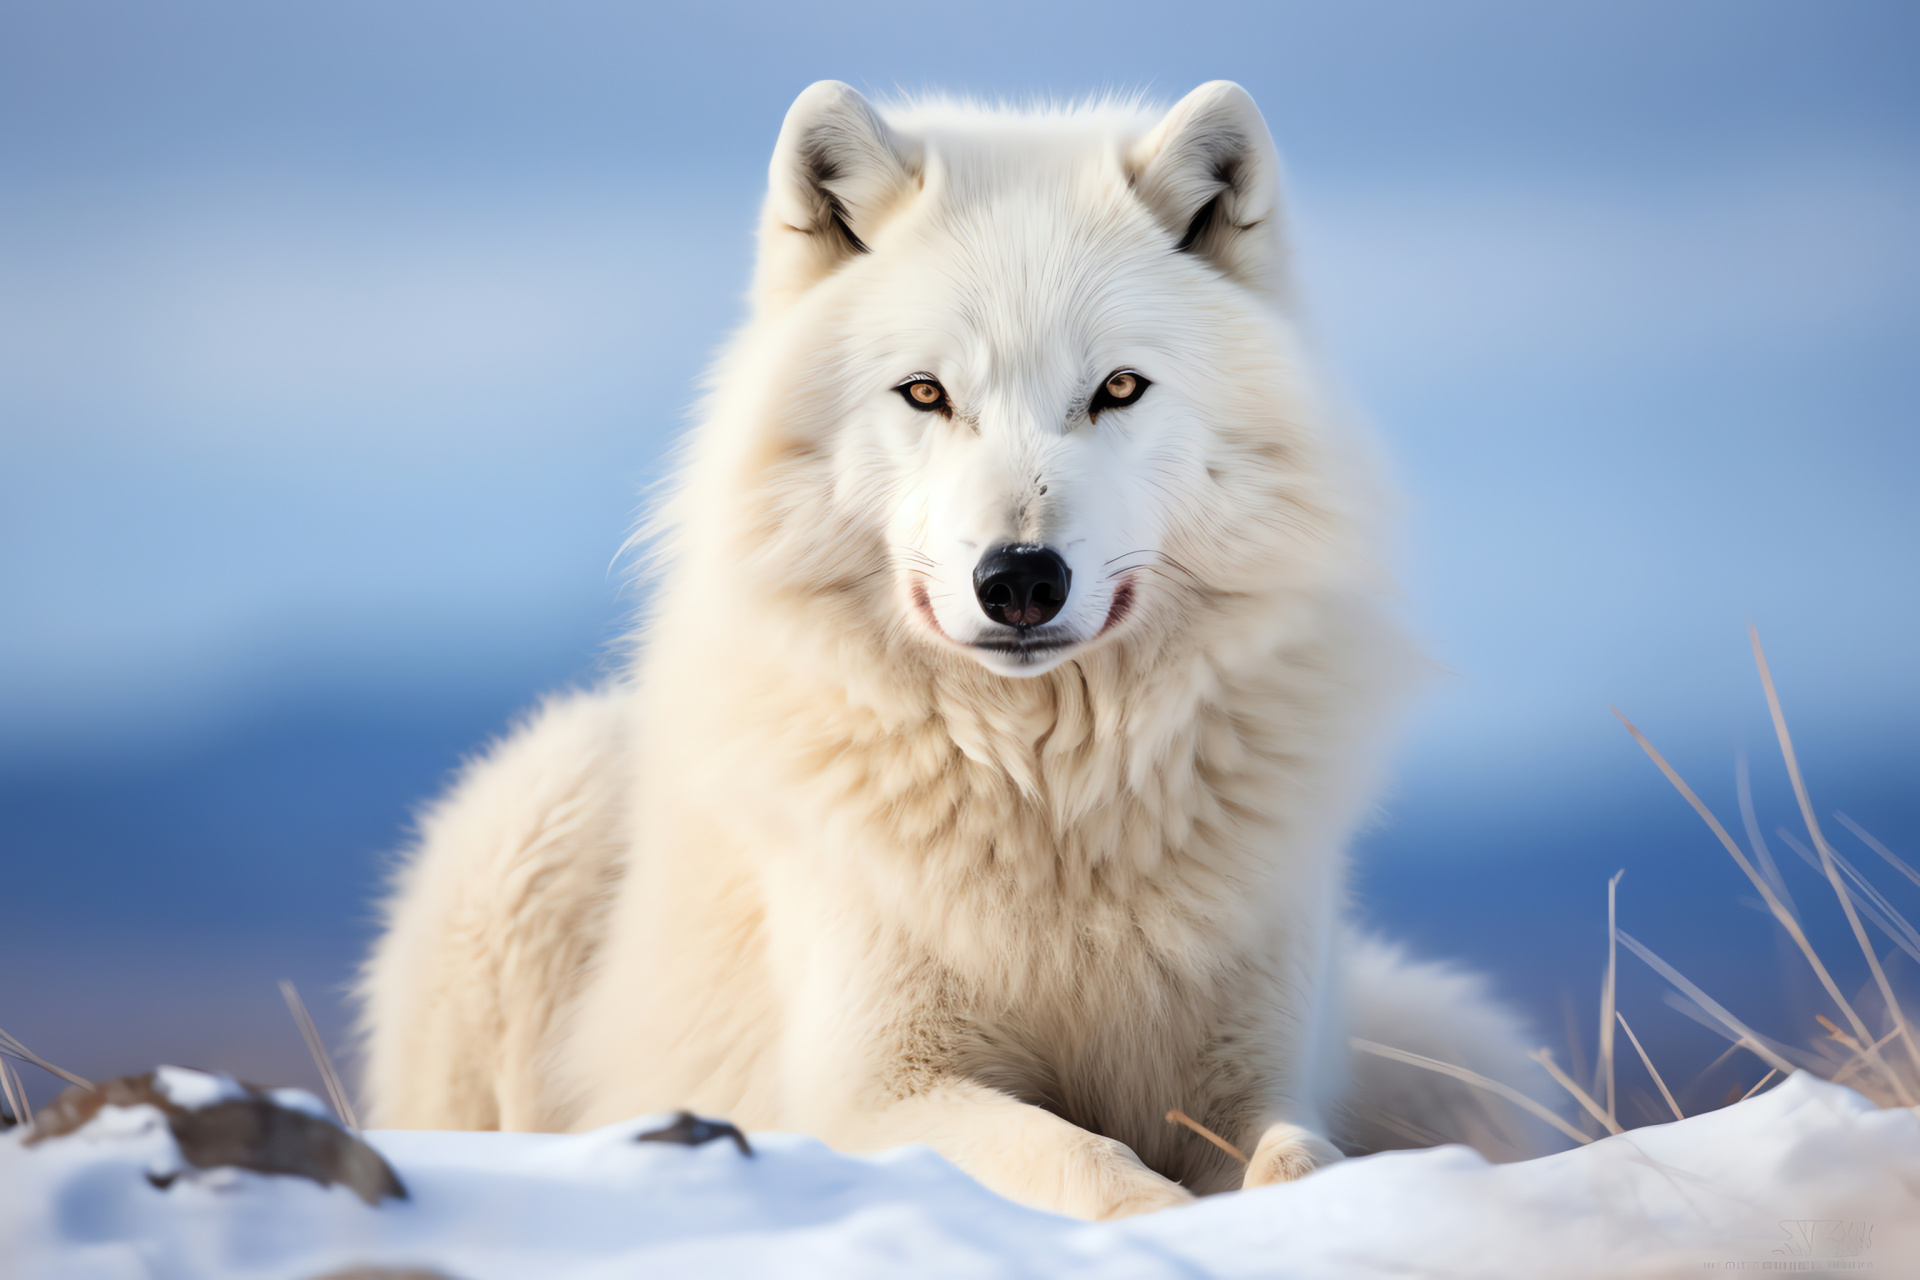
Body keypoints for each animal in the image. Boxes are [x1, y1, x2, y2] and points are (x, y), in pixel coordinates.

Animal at [360, 80, 1551, 1220]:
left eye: (1118, 388)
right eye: (927, 392)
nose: (1019, 579)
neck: (1047, 802)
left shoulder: (1252, 1076)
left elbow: (1303, 1160)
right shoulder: (878, 1091)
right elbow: (1091, 1166)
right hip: (536, 809)